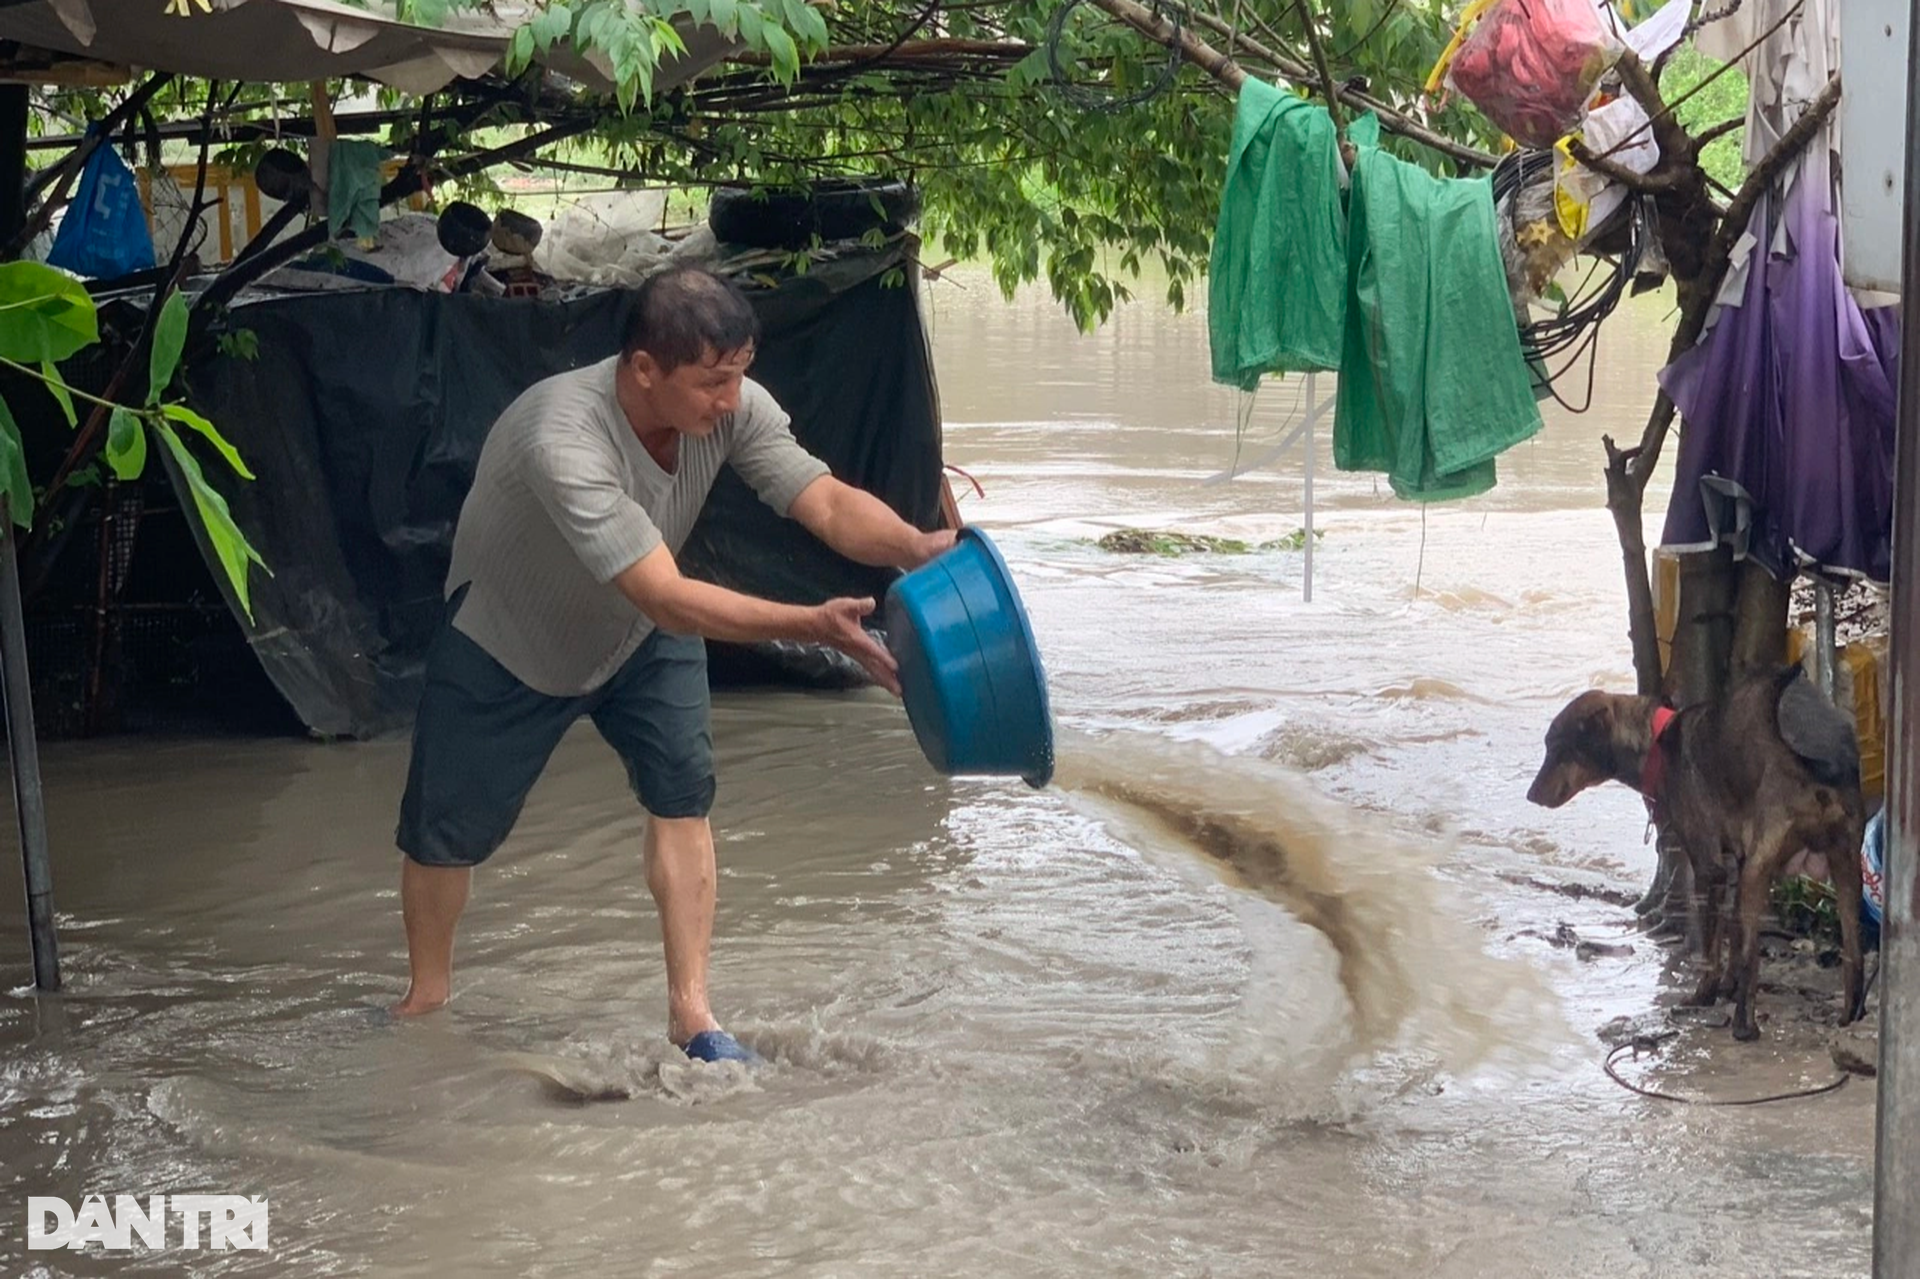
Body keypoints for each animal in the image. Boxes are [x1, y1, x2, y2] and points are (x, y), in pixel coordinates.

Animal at [1520, 660, 1866, 1044]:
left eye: (1558, 747)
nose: (1530, 796)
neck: (1658, 743)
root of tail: (1814, 762)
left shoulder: (1709, 867)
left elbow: (1713, 946)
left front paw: (1705, 993)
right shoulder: (1734, 863)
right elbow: (1732, 931)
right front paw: (1727, 986)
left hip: (1760, 870)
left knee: (1753, 957)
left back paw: (1744, 1026)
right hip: (1847, 865)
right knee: (1855, 952)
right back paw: (1849, 1018)